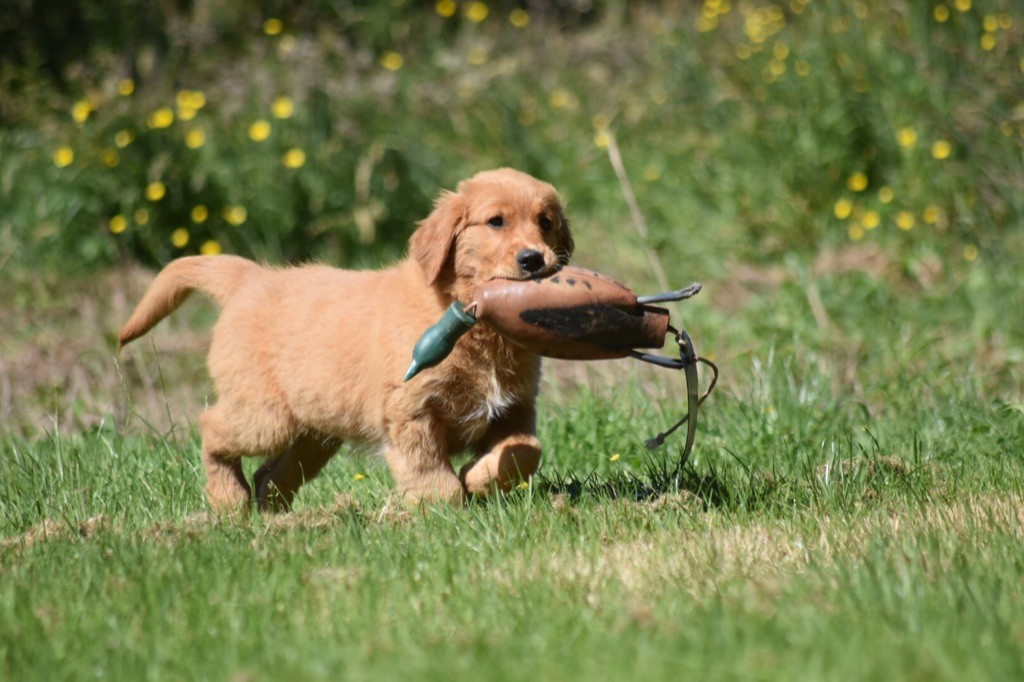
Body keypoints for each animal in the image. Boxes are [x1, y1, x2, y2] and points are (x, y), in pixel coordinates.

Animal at [117, 168, 577, 509]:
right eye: (496, 221)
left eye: (546, 223)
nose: (534, 260)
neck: (474, 322)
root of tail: (251, 278)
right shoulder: (410, 411)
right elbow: (431, 472)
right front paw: (441, 503)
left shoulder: (514, 407)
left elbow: (525, 450)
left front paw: (478, 477)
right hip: (266, 417)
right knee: (211, 427)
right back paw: (229, 498)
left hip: (315, 430)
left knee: (271, 473)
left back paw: (279, 519)